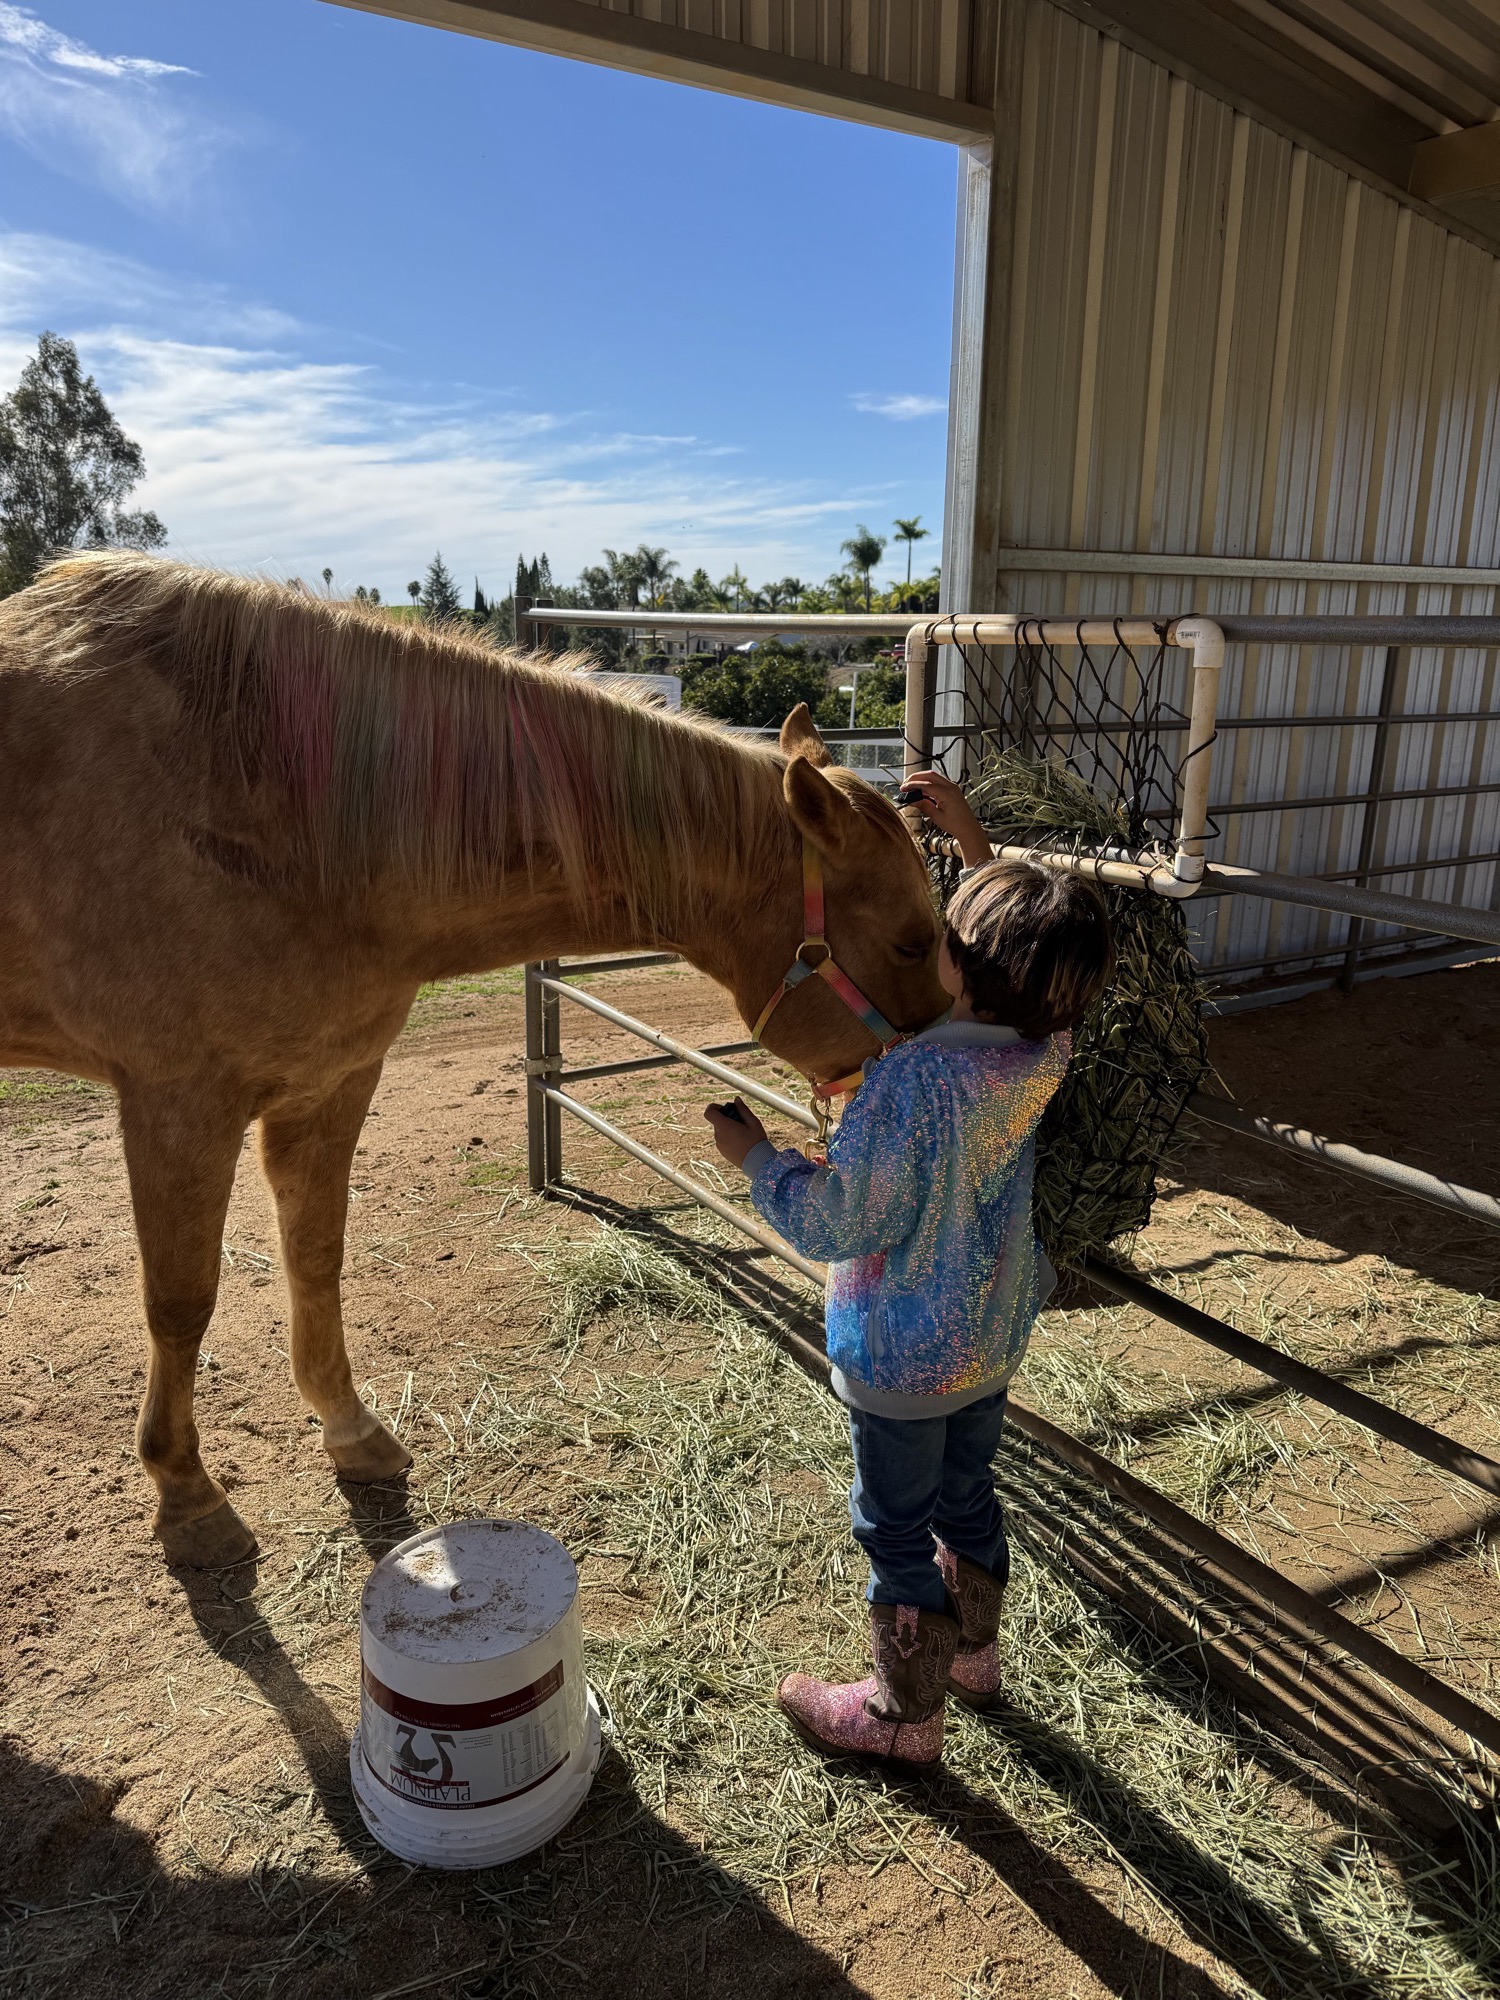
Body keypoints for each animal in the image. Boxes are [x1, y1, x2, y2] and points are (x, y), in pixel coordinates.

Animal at [0, 554, 945, 1566]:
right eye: (912, 940)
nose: (928, 1085)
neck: (276, 804)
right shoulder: (179, 1101)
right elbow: (181, 1301)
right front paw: (187, 1495)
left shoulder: (328, 1084)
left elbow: (317, 1254)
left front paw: (351, 1430)